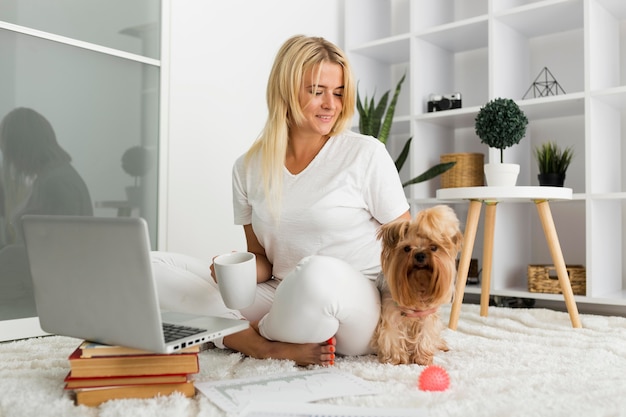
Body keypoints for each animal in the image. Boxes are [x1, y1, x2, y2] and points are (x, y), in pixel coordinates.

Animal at [372, 206, 460, 364]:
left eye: (433, 247)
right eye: (407, 248)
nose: (420, 255)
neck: (418, 284)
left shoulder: (428, 316)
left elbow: (425, 334)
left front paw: (421, 359)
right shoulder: (391, 314)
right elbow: (392, 335)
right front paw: (396, 359)